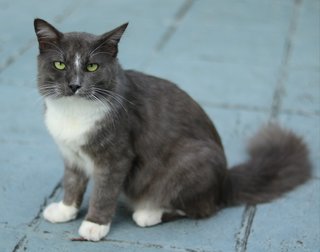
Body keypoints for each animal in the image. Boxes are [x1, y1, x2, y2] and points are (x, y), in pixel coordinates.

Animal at [33, 18, 312, 241]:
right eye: (59, 65)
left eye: (92, 66)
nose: (74, 85)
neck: (74, 112)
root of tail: (224, 182)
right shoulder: (71, 155)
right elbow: (72, 181)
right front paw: (65, 210)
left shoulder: (116, 158)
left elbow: (104, 192)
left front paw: (94, 225)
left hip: (190, 160)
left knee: (202, 208)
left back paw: (149, 213)